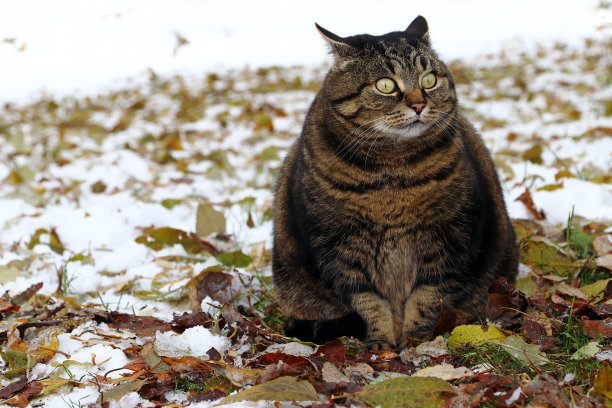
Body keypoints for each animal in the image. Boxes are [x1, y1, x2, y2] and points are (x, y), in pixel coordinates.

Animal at [272, 15, 516, 348]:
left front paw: (414, 339)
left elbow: (429, 295)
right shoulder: (337, 247)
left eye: (429, 79)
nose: (418, 105)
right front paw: (382, 343)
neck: (392, 172)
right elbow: (367, 303)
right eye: (385, 85)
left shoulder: (450, 236)